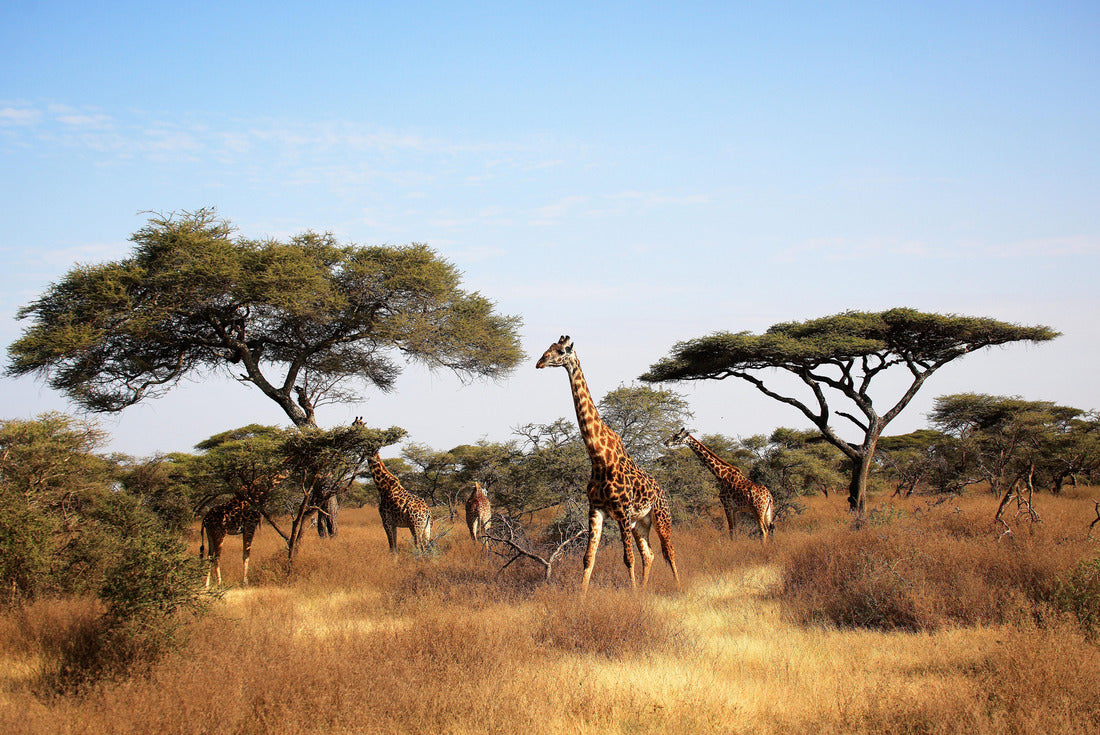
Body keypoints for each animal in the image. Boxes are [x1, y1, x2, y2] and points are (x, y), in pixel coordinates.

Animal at [537, 335, 679, 593]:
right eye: (549, 348)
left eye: (561, 351)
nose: (540, 362)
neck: (598, 457)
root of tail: (662, 491)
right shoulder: (596, 509)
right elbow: (588, 558)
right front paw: (581, 597)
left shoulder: (622, 511)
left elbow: (627, 558)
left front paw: (632, 596)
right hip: (640, 523)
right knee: (650, 554)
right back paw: (645, 589)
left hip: (661, 517)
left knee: (668, 551)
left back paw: (678, 586)